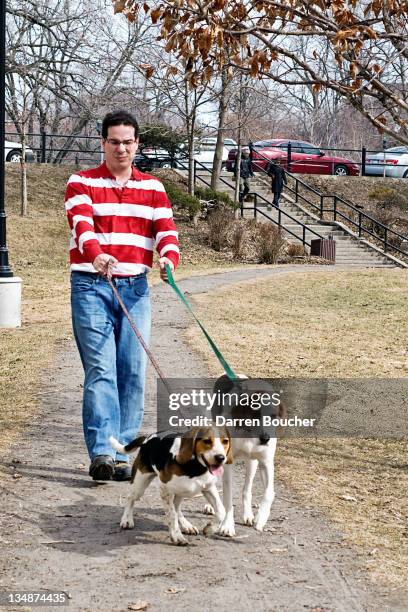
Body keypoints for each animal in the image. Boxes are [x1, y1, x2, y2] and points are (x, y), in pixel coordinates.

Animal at [206, 372, 282, 536]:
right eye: (254, 414)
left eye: (273, 416)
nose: (265, 438)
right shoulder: (227, 463)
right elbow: (228, 499)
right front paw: (227, 525)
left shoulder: (266, 463)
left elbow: (269, 493)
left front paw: (261, 518)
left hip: (252, 463)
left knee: (247, 489)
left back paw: (248, 515)